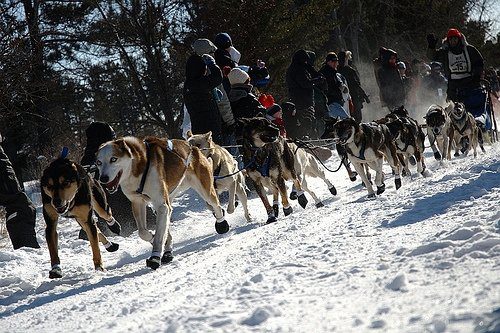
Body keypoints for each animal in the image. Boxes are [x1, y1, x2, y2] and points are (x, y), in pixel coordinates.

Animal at [95, 136, 229, 268]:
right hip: (162, 202)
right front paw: (153, 239)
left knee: (216, 205)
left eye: (113, 159)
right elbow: (143, 232)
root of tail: (192, 147)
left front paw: (155, 256)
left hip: (205, 190)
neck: (138, 167)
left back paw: (222, 223)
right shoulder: (138, 202)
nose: (102, 179)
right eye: (99, 163)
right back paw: (168, 252)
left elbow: (159, 235)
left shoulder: (162, 205)